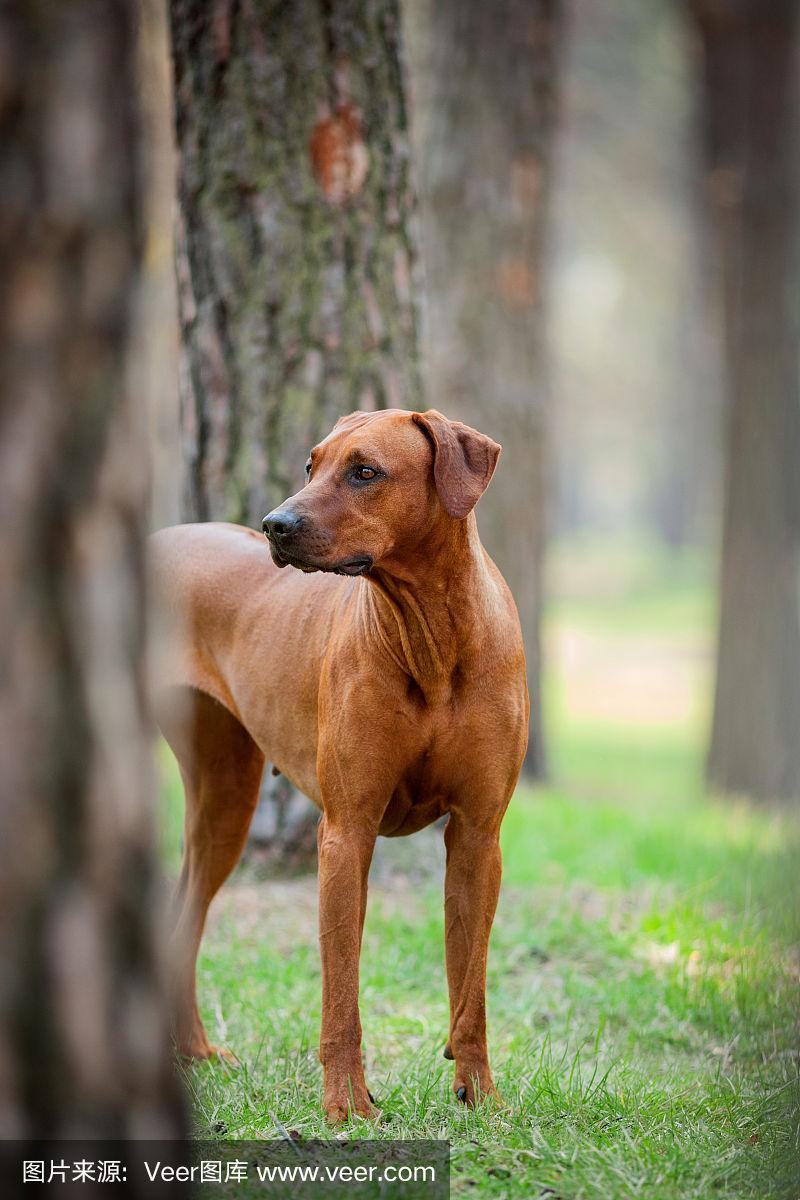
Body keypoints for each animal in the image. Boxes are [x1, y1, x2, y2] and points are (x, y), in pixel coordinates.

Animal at [151, 408, 532, 1118]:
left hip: (225, 794)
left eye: (365, 471)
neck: (430, 634)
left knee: (186, 912)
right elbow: (341, 997)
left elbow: (471, 990)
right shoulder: (346, 835)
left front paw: (481, 1095)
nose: (275, 524)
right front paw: (348, 1105)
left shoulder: (478, 834)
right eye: (311, 465)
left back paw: (196, 1054)